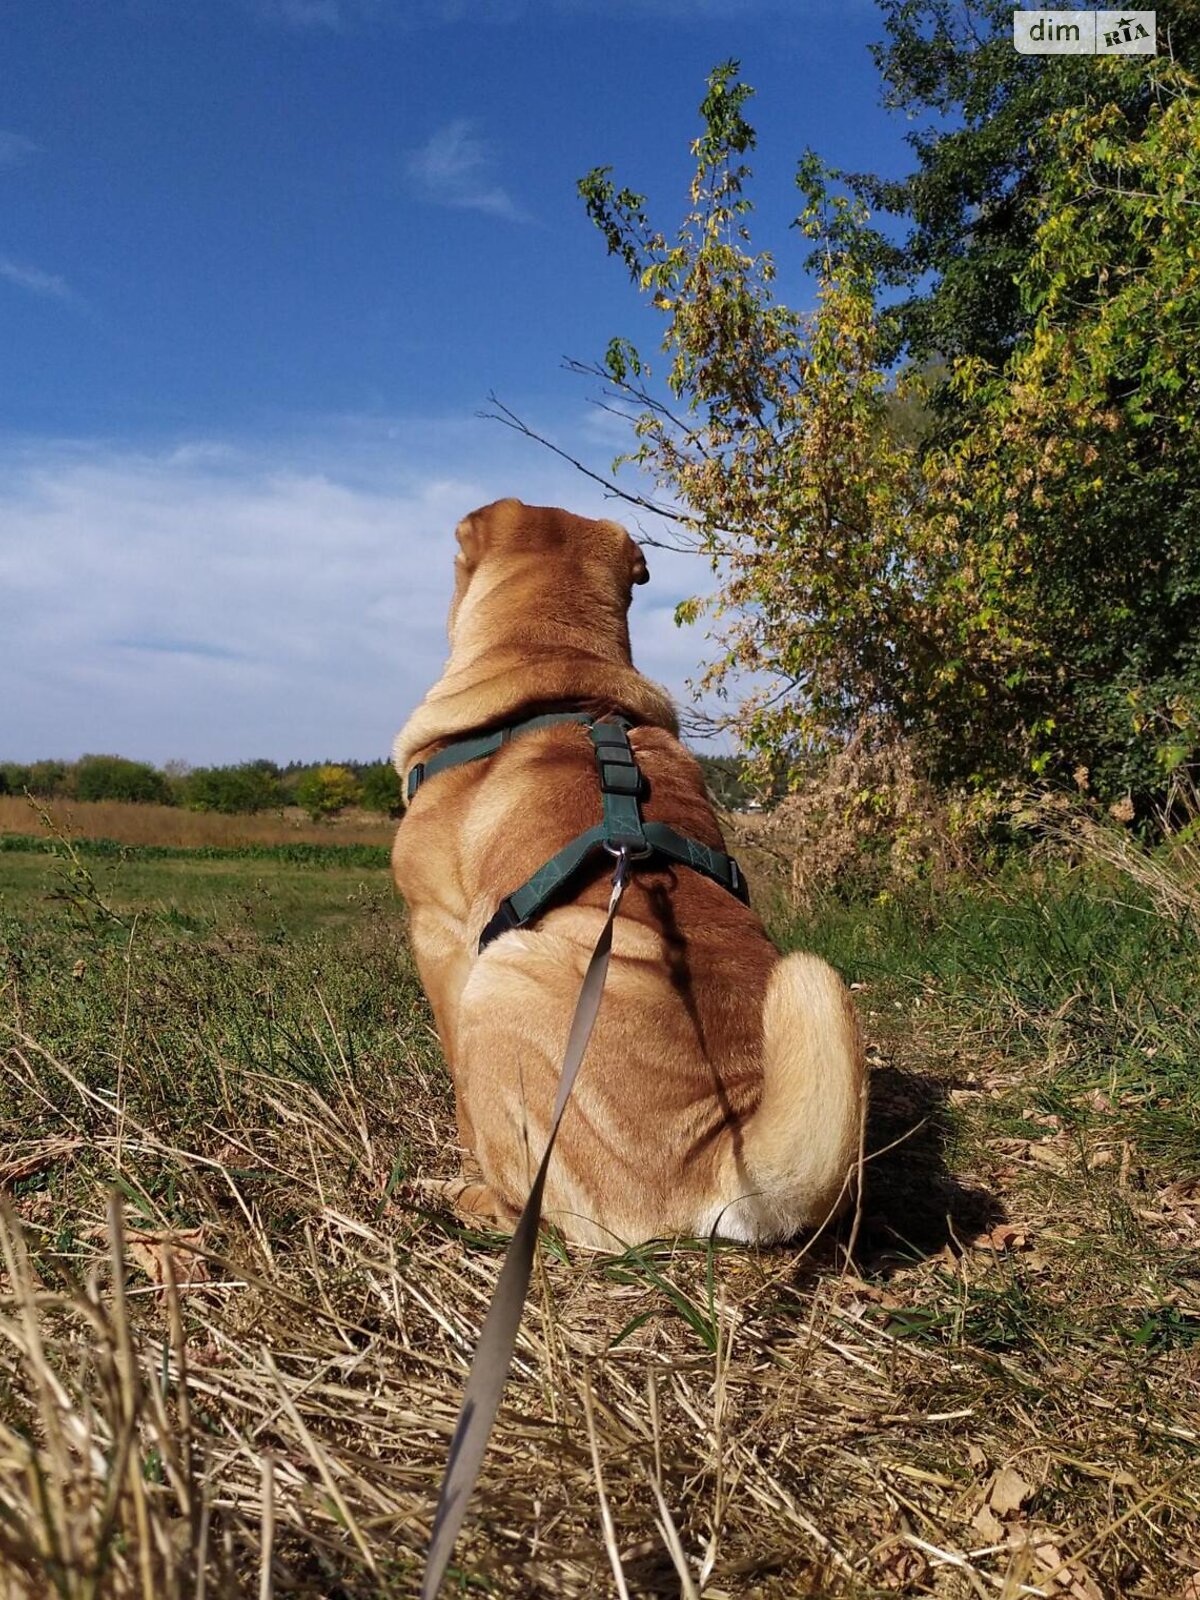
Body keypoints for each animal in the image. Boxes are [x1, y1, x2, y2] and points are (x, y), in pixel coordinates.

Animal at [395, 499, 864, 1248]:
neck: (559, 668)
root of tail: (721, 1166)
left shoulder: (439, 943)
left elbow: (463, 1101)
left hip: (504, 979)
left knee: (524, 1208)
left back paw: (449, 1196)